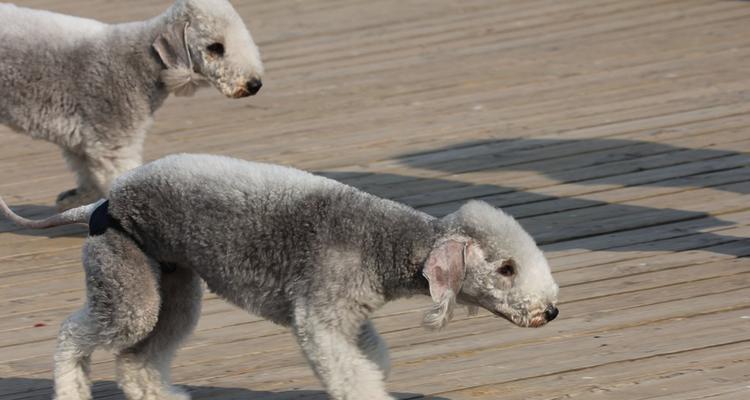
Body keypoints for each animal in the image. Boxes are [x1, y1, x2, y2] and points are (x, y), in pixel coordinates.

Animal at [0, 0, 264, 211]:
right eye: (215, 47)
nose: (254, 84)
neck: (142, 63)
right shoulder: (112, 143)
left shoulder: (82, 141)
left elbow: (88, 179)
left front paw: (71, 200)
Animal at [0, 154, 560, 400]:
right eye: (506, 269)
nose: (550, 311)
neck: (387, 242)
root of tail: (102, 205)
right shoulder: (318, 318)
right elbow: (352, 373)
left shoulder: (351, 318)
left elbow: (372, 358)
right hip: (127, 279)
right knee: (74, 336)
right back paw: (71, 390)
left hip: (175, 287)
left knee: (139, 360)